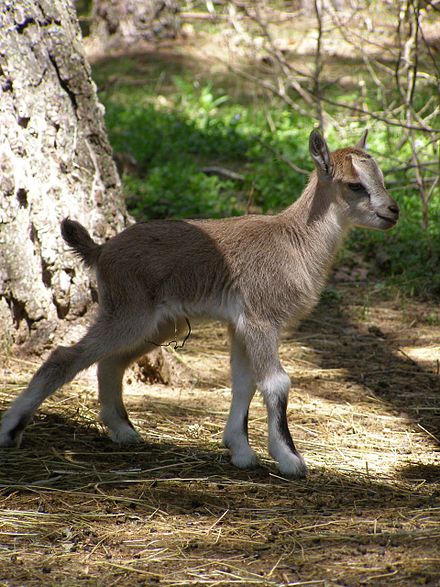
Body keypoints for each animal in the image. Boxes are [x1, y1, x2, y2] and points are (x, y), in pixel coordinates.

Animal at [0, 130, 398, 478]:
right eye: (354, 184)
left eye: (381, 177)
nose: (392, 211)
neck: (294, 241)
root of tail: (102, 251)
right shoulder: (261, 320)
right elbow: (276, 383)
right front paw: (289, 459)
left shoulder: (241, 325)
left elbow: (243, 383)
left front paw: (240, 451)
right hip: (128, 312)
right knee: (65, 356)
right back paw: (10, 430)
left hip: (157, 323)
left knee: (110, 363)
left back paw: (124, 431)